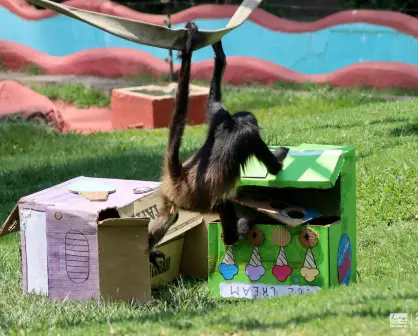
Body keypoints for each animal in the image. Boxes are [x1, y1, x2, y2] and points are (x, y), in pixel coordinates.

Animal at [149, 21, 290, 268]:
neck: (233, 124)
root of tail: (181, 177)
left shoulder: (220, 115)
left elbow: (213, 99)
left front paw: (219, 52)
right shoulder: (249, 134)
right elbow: (273, 167)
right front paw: (280, 155)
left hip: (170, 197)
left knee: (169, 216)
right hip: (200, 202)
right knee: (224, 205)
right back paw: (234, 235)